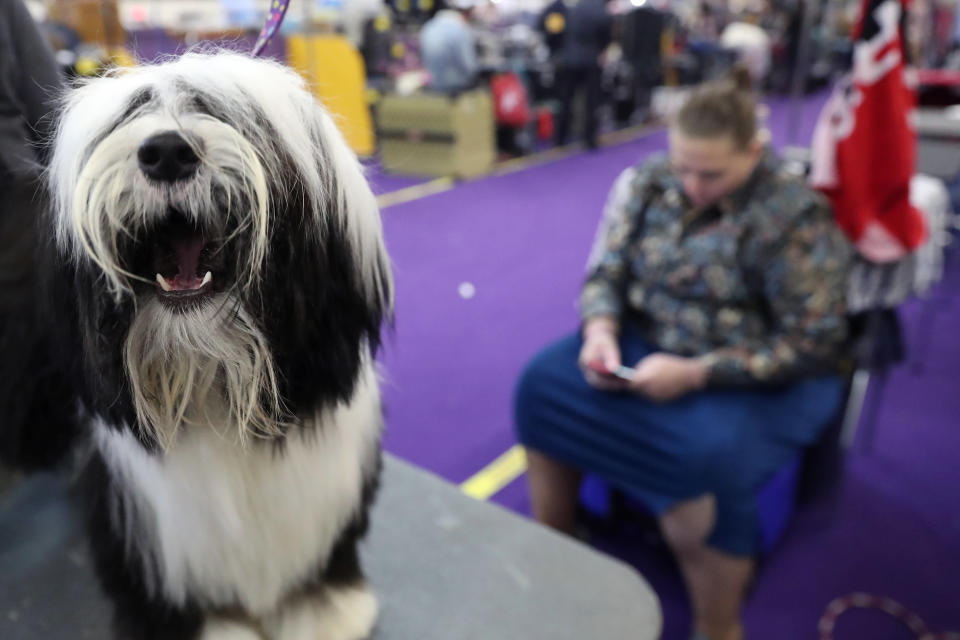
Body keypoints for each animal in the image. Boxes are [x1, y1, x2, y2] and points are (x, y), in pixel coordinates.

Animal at [42, 51, 394, 640]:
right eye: (134, 111)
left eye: (237, 117)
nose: (166, 151)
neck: (213, 379)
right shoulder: (149, 528)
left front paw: (322, 606)